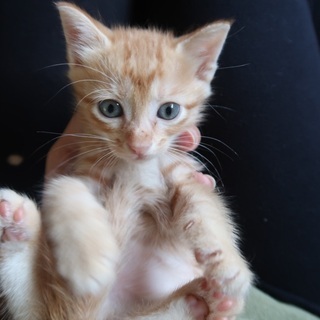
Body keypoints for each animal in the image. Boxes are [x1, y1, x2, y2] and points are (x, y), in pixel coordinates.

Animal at [1, 2, 254, 320]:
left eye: (169, 111)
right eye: (110, 108)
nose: (139, 145)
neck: (136, 168)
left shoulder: (178, 169)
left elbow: (204, 202)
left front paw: (230, 265)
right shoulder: (84, 169)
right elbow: (64, 186)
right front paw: (89, 261)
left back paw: (207, 300)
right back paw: (14, 223)